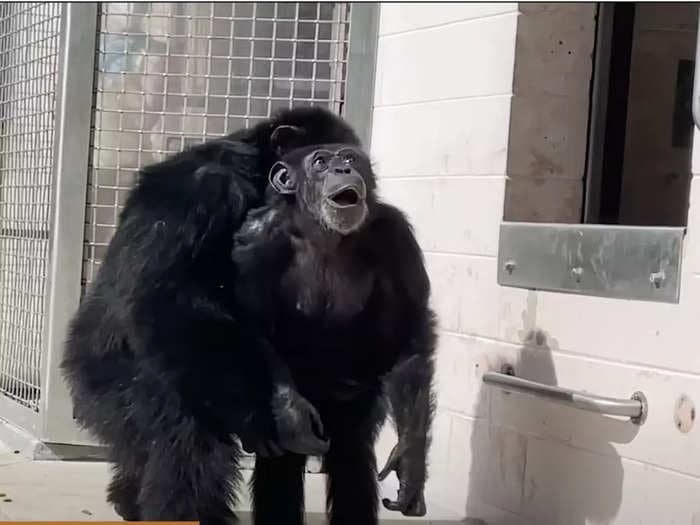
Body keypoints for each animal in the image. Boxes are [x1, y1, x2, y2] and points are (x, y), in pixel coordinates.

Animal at [232, 139, 434, 524]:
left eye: (350, 157)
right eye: (321, 162)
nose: (343, 169)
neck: (321, 232)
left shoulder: (396, 234)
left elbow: (409, 332)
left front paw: (410, 463)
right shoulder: (255, 239)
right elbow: (252, 322)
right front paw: (291, 415)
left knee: (351, 455)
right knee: (280, 467)